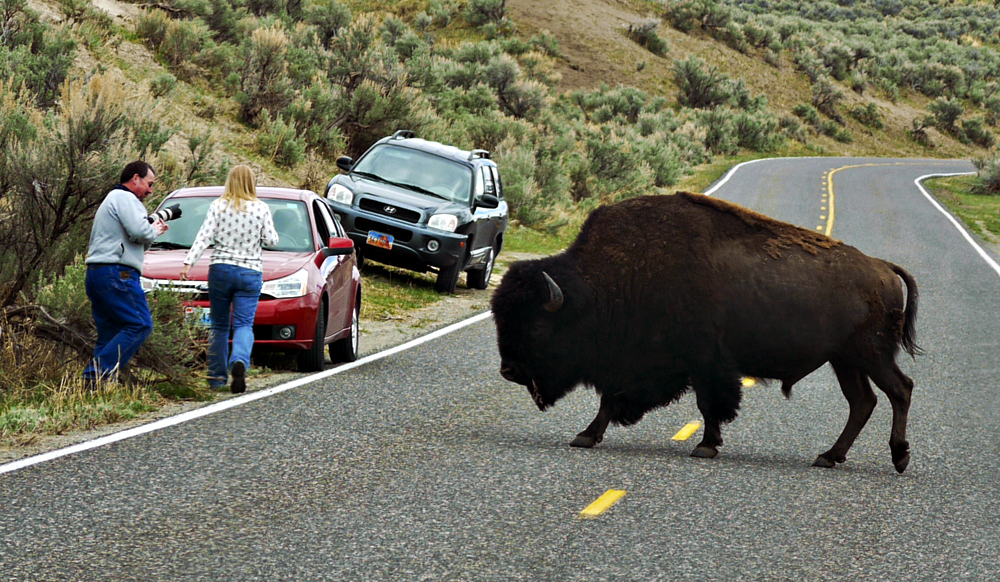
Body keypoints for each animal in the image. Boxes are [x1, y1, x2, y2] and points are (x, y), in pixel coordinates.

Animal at [488, 192, 916, 474]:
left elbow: (710, 405)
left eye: (537, 327)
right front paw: (585, 436)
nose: (509, 371)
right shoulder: (636, 366)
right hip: (846, 361)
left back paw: (898, 457)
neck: (609, 283)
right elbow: (610, 402)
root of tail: (883, 268)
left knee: (899, 389)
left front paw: (706, 447)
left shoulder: (705, 362)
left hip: (870, 354)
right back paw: (829, 456)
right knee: (863, 402)